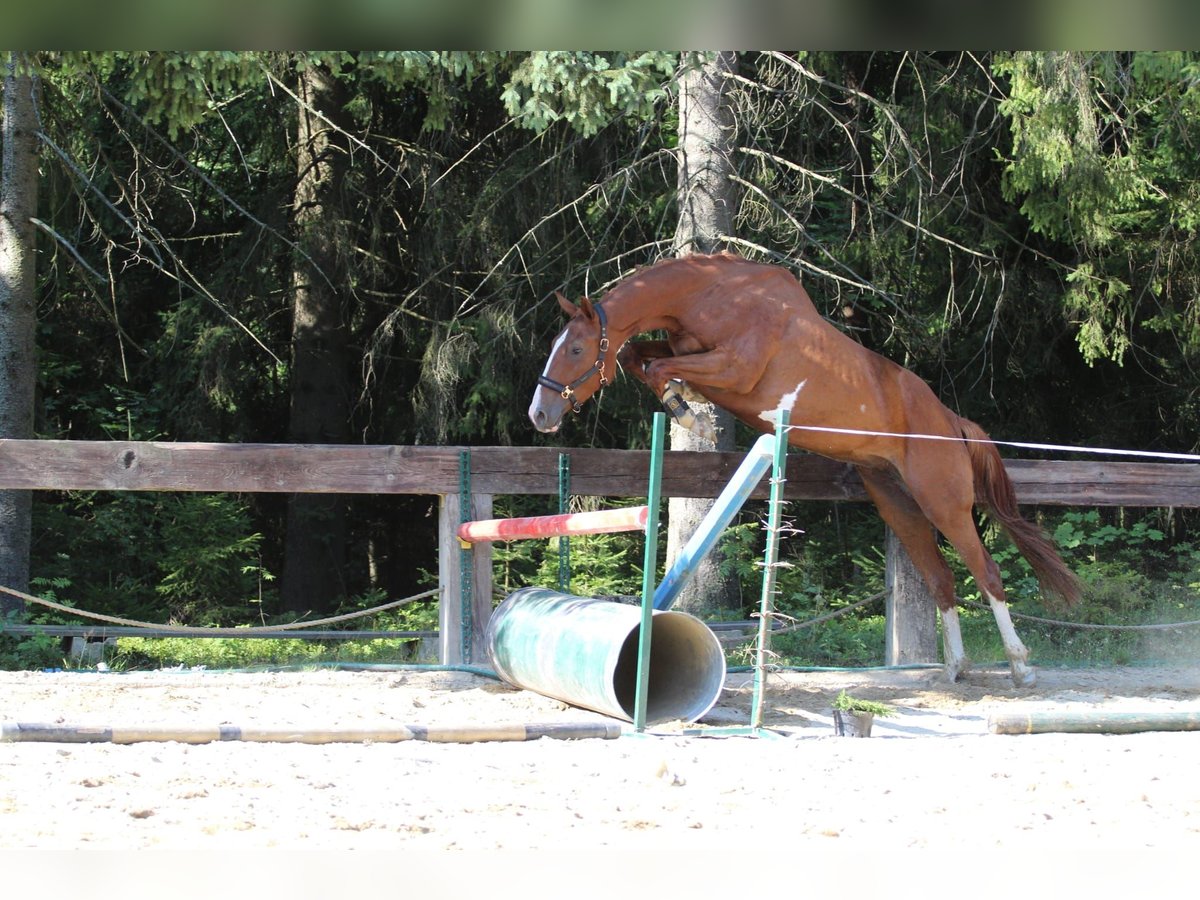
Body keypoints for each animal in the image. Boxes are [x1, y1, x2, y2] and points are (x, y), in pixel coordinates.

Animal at [530, 254, 1084, 691]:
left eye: (575, 349)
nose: (539, 414)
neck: (711, 295)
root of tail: (950, 421)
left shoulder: (732, 370)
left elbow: (658, 367)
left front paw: (689, 414)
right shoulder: (683, 350)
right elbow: (636, 355)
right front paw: (682, 406)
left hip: (943, 502)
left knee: (985, 572)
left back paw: (1020, 667)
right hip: (897, 502)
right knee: (941, 578)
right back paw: (957, 667)